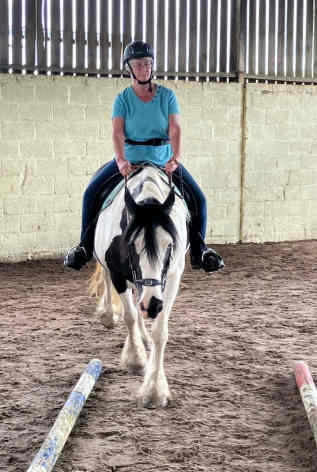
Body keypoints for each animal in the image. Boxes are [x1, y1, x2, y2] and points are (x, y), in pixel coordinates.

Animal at [89, 164, 188, 408]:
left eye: (169, 244)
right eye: (131, 243)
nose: (151, 306)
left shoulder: (172, 277)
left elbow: (160, 332)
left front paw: (154, 391)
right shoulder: (117, 273)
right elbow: (130, 316)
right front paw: (135, 359)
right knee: (110, 283)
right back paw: (108, 315)